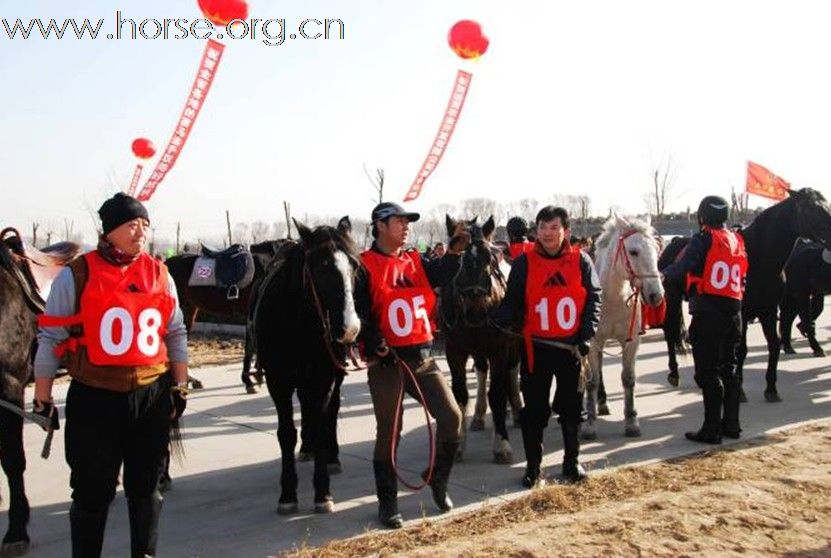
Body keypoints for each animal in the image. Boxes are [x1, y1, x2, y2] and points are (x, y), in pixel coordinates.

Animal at [250, 218, 360, 516]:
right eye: (321, 266)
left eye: (355, 266)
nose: (349, 328)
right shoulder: (278, 380)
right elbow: (286, 433)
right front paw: (288, 494)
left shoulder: (324, 376)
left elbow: (323, 423)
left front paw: (322, 493)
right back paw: (307, 448)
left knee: (329, 410)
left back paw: (331, 457)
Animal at [442, 217, 520, 466]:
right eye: (455, 249)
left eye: (489, 256)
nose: (475, 298)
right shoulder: (454, 350)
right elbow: (459, 395)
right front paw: (458, 443)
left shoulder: (499, 348)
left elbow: (497, 393)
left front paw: (502, 444)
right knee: (481, 371)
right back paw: (478, 415)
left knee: (511, 372)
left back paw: (516, 409)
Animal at [580, 218, 668, 442]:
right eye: (634, 251)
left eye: (657, 248)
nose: (656, 294)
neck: (612, 297)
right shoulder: (592, 342)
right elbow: (592, 381)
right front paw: (590, 426)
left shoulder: (632, 342)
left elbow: (629, 379)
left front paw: (632, 422)